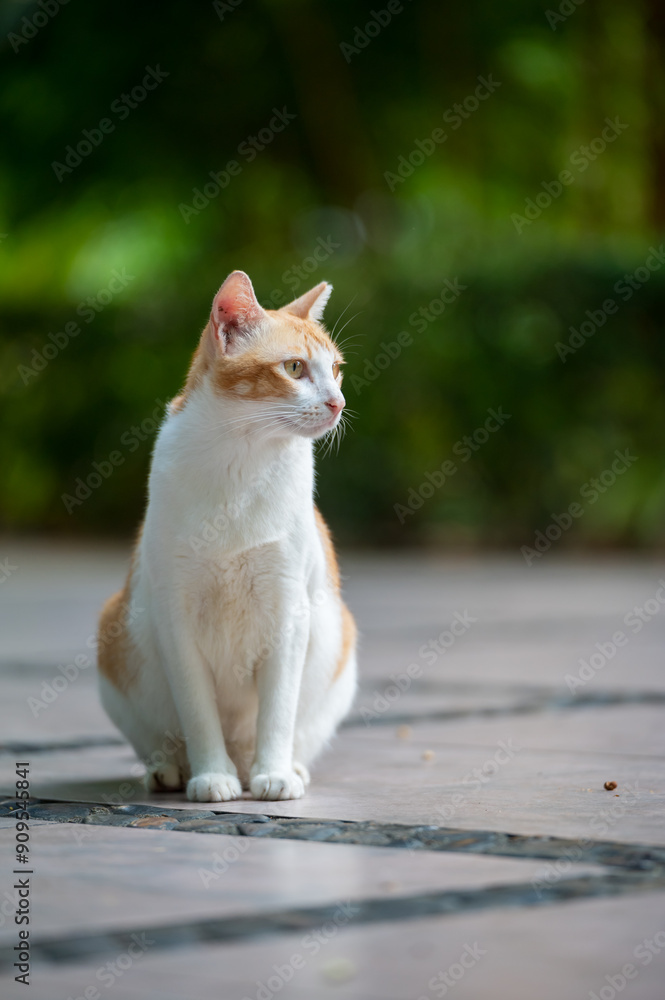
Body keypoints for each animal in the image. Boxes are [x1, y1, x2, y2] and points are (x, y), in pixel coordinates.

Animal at [96, 270, 356, 800]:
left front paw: (274, 774)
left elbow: (278, 711)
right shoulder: (175, 617)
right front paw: (211, 776)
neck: (243, 459)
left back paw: (285, 767)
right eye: (295, 367)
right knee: (160, 738)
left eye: (337, 370)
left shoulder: (289, 612)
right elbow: (199, 715)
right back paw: (170, 770)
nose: (338, 403)